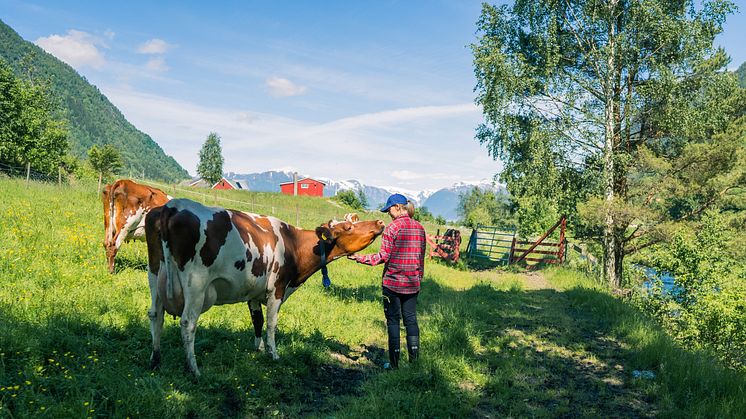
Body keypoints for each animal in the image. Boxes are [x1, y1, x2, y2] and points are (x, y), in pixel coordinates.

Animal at [144, 199, 384, 378]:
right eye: (349, 227)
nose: (380, 222)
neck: (293, 243)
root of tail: (171, 205)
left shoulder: (254, 292)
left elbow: (257, 321)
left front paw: (257, 349)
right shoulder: (277, 289)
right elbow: (271, 323)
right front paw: (272, 352)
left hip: (154, 273)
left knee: (156, 314)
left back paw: (156, 359)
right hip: (196, 282)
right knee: (188, 323)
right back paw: (193, 369)